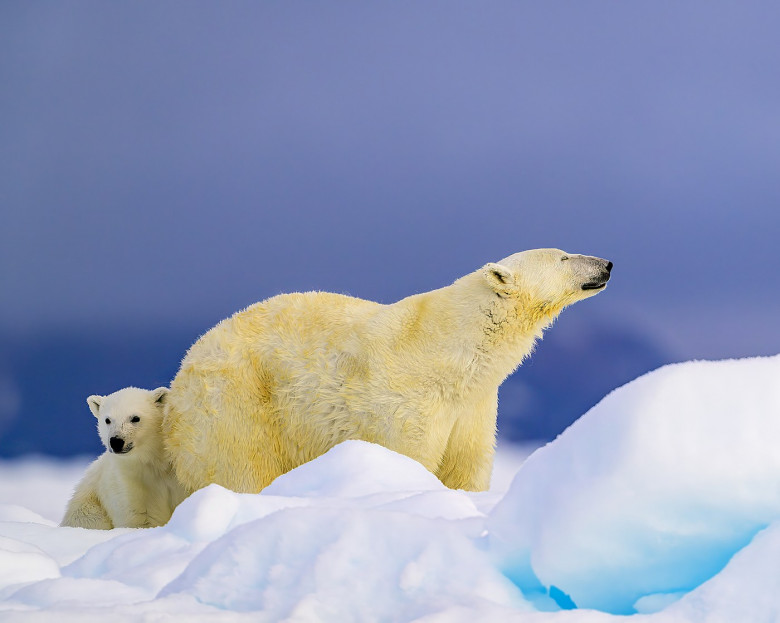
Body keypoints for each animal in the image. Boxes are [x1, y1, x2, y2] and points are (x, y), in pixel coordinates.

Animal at [165, 249, 612, 492]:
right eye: (564, 256)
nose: (607, 263)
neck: (453, 350)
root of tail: (182, 372)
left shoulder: (473, 408)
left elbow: (466, 467)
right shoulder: (408, 401)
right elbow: (409, 457)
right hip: (235, 406)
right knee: (241, 469)